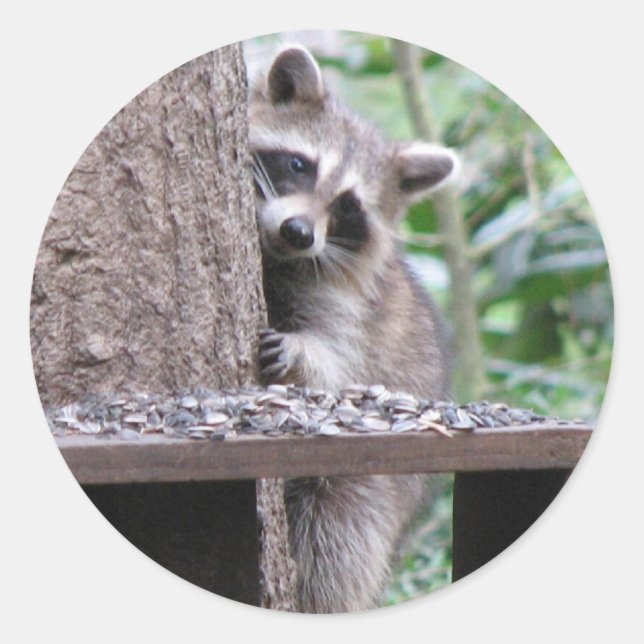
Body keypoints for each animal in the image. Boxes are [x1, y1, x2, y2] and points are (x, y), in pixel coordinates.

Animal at [249, 45, 456, 613]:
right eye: (299, 165)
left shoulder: (348, 305)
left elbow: (339, 369)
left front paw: (300, 353)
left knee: (335, 552)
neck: (277, 257)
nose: (299, 232)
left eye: (348, 206)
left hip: (369, 491)